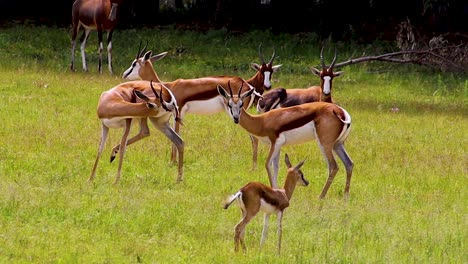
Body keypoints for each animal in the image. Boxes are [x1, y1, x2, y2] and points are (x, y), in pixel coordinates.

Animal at [218, 83, 352, 199]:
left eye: (241, 104)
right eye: (229, 104)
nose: (236, 118)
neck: (261, 122)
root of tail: (341, 112)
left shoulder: (275, 143)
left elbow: (267, 164)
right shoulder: (278, 147)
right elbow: (276, 167)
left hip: (324, 144)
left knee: (333, 166)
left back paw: (321, 196)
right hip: (338, 144)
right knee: (349, 164)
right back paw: (345, 196)